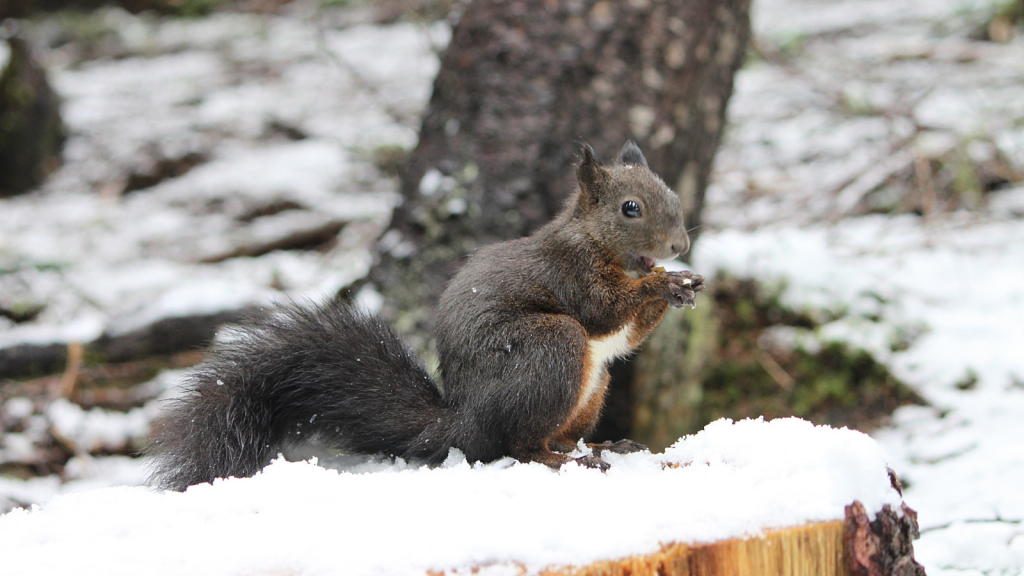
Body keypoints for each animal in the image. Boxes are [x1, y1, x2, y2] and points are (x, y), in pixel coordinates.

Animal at [146, 140, 704, 487]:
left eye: (673, 195)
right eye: (630, 208)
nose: (679, 245)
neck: (596, 241)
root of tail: (463, 425)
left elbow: (627, 336)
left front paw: (683, 286)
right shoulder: (571, 272)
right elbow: (603, 311)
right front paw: (663, 282)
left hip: (591, 387)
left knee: (556, 434)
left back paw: (606, 446)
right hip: (550, 348)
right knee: (515, 445)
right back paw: (562, 459)